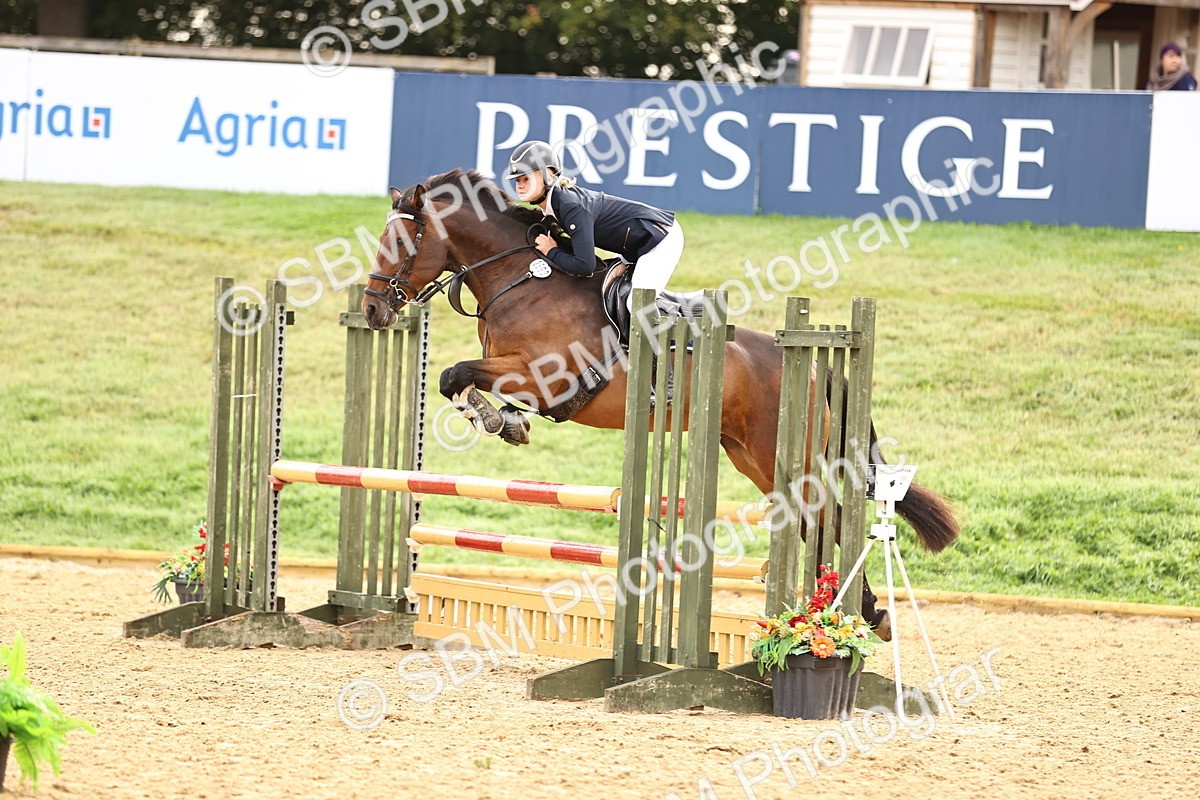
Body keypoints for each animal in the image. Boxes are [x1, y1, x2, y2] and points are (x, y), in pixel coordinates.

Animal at [361, 169, 959, 632]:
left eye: (402, 244)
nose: (372, 310)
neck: (521, 278)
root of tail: (812, 360)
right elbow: (456, 380)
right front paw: (502, 420)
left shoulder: (548, 376)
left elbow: (454, 373)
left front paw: (495, 418)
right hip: (748, 455)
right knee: (813, 522)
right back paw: (843, 609)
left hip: (783, 453)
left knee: (827, 518)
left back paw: (854, 613)